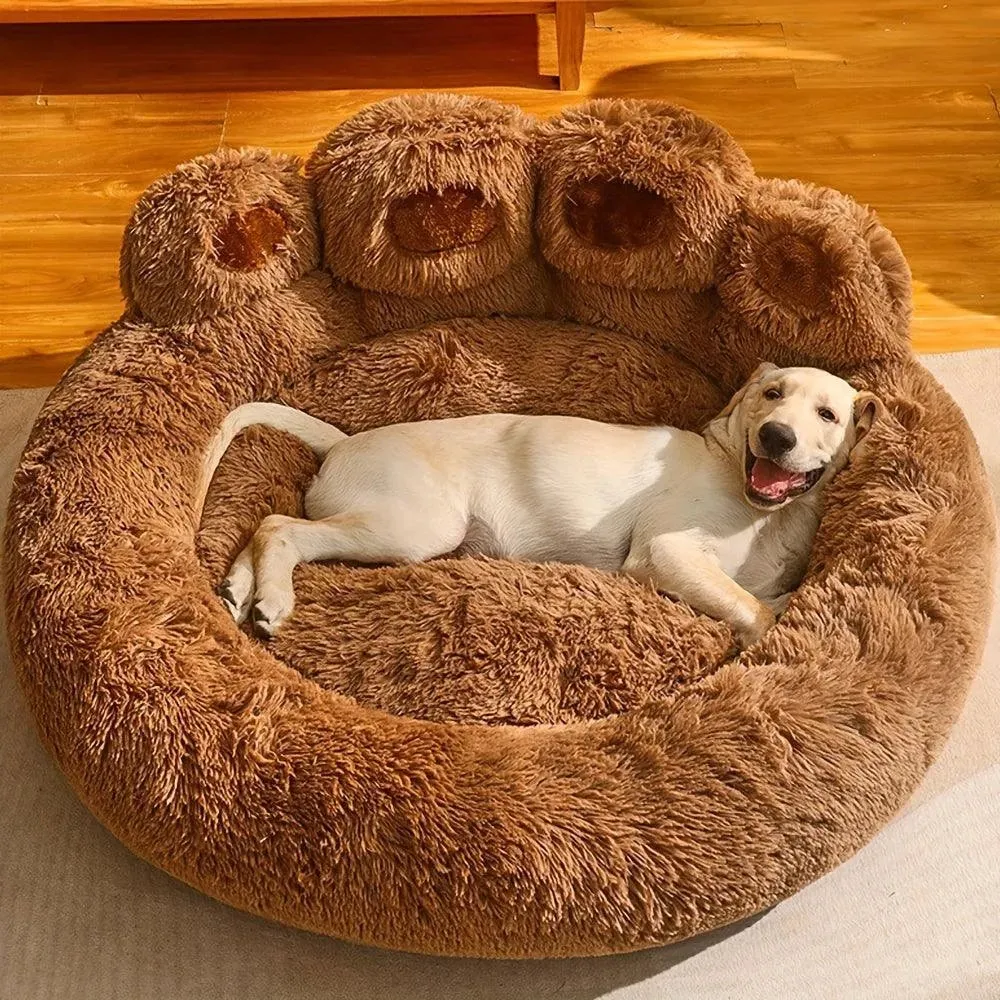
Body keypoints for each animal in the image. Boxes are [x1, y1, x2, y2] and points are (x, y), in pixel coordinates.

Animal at [201, 364, 876, 644]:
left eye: (828, 415)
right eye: (771, 394)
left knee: (266, 527)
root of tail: (343, 441)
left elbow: (764, 598)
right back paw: (273, 601)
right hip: (417, 527)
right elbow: (756, 611)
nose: (776, 437)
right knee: (280, 526)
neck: (763, 512)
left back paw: (242, 591)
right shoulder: (667, 551)